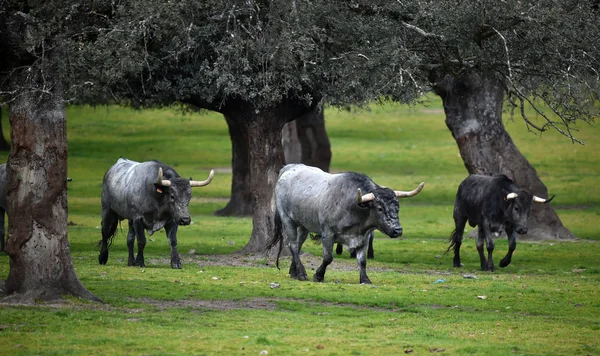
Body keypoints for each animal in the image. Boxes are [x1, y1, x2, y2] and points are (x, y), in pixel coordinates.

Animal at [264, 164, 424, 284]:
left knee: (297, 245)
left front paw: (365, 279)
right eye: (379, 208)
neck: (353, 206)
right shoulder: (327, 233)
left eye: (397, 207)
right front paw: (318, 275)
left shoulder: (363, 237)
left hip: (304, 225)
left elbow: (362, 260)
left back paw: (294, 272)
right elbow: (328, 257)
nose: (397, 230)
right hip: (287, 219)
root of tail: (290, 168)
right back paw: (302, 273)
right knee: (292, 244)